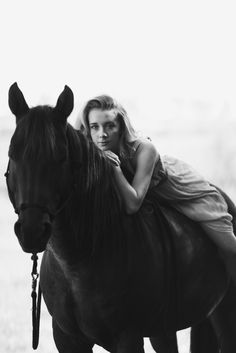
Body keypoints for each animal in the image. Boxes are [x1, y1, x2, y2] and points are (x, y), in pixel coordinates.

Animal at [6, 82, 236, 350]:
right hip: (167, 328)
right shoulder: (66, 338)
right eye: (12, 154)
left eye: (61, 157)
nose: (31, 231)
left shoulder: (128, 337)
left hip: (224, 317)